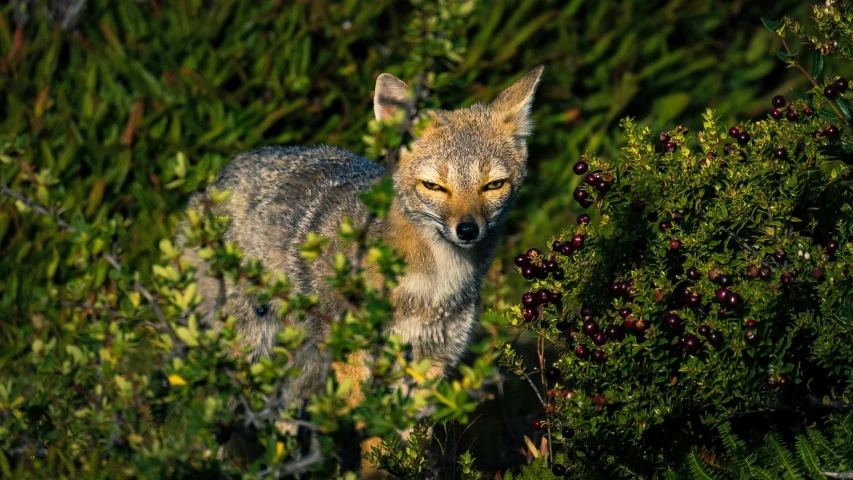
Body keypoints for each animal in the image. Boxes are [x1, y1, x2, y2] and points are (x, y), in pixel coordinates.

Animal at [180, 64, 544, 476]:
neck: (433, 285)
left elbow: (411, 443)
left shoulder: (430, 362)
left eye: (493, 185)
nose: (467, 230)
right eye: (434, 186)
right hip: (245, 355)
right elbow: (373, 436)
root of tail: (222, 173)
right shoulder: (355, 361)